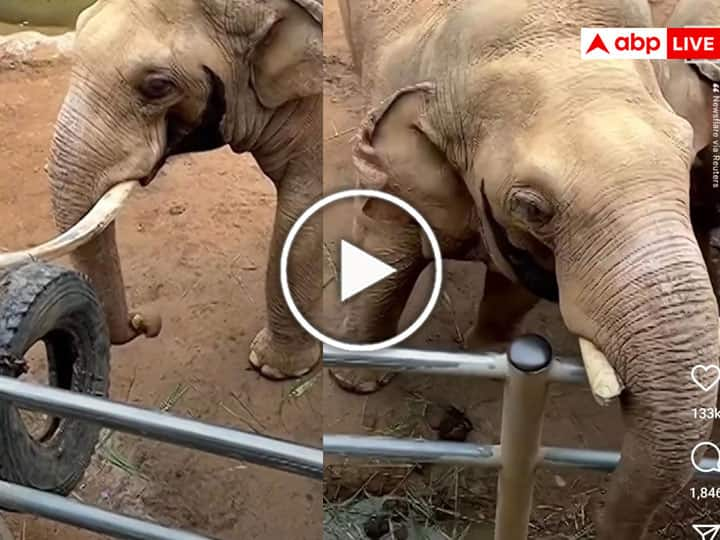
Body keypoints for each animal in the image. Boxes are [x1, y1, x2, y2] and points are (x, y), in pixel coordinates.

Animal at [334, 0, 720, 536]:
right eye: (532, 207)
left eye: (691, 161)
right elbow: (387, 245)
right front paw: (359, 382)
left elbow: (519, 283)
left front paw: (489, 355)